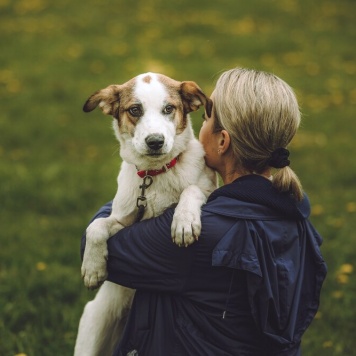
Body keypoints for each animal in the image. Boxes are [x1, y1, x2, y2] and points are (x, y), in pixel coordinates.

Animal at [75, 73, 217, 356]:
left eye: (169, 109)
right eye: (134, 110)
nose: (155, 142)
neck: (154, 175)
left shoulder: (209, 187)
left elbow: (192, 189)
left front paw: (183, 222)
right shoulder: (124, 220)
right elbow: (96, 226)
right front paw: (93, 267)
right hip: (95, 320)